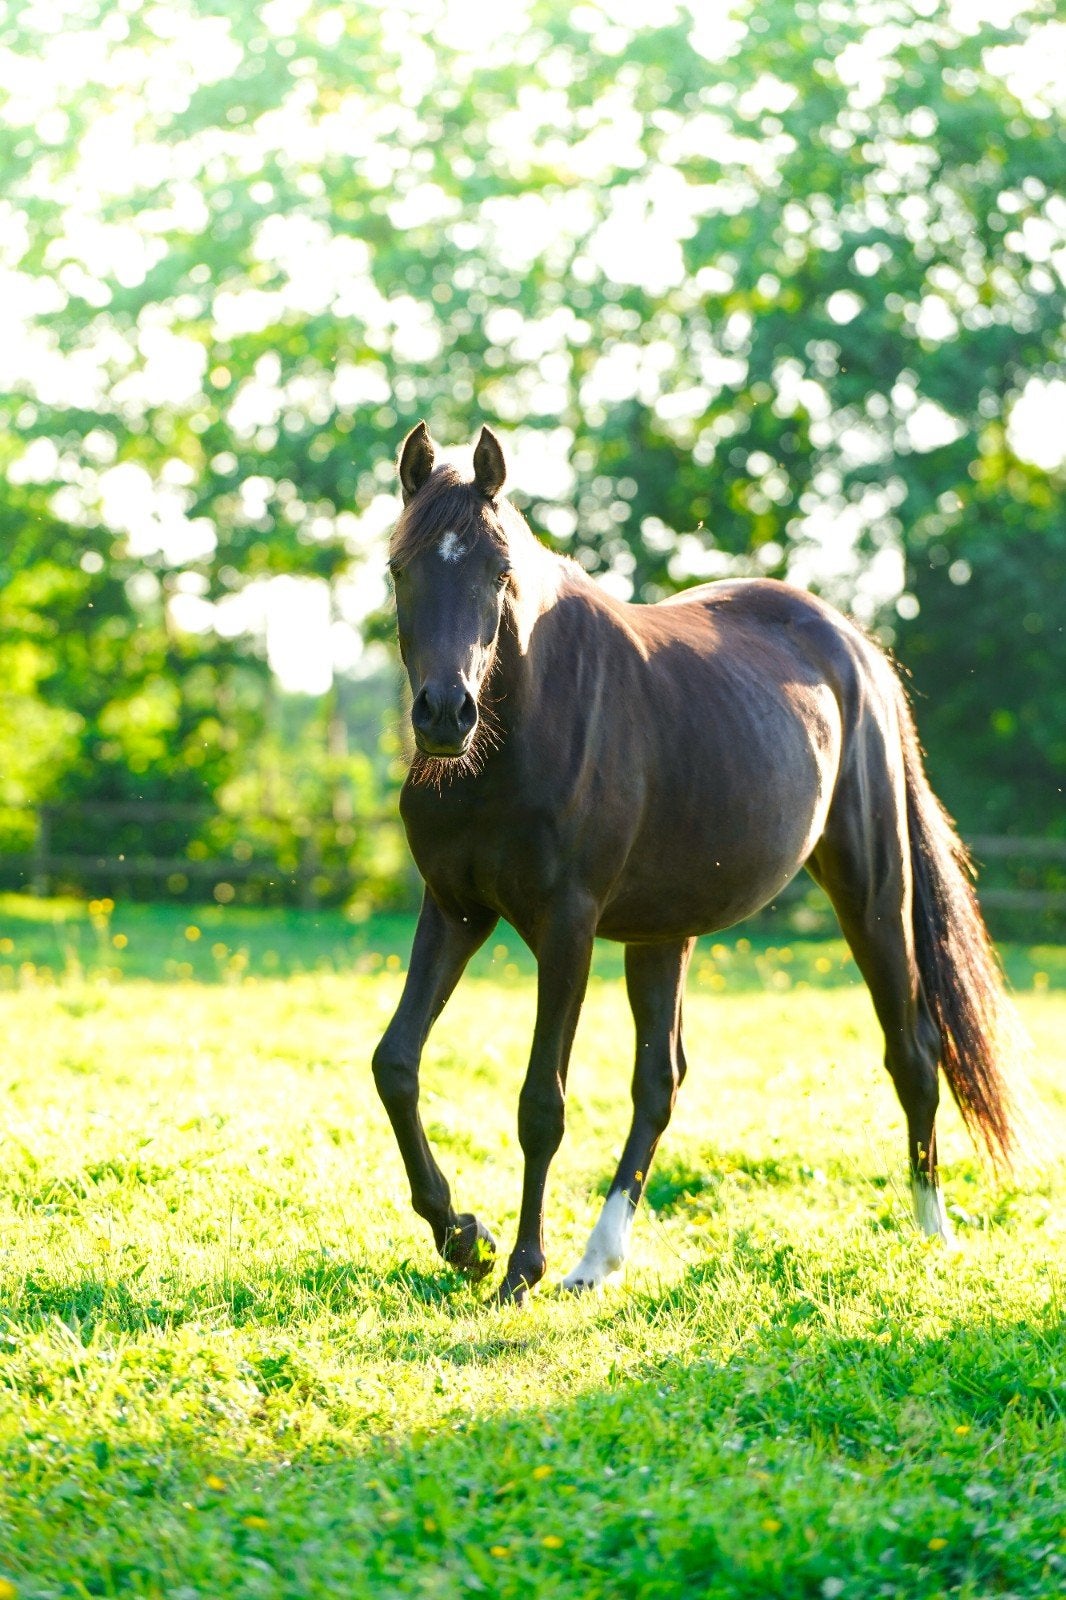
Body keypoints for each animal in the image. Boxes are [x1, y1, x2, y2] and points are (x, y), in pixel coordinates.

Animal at [372, 421, 1018, 1305]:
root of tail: (853, 647)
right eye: (400, 569)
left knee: (912, 1052)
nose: (444, 714)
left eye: (500, 572)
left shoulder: (566, 928)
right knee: (660, 1083)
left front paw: (519, 1267)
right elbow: (397, 1065)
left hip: (873, 891)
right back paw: (596, 1261)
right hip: (661, 934)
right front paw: (464, 1237)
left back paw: (932, 1234)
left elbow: (541, 1103)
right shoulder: (455, 909)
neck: (514, 737)